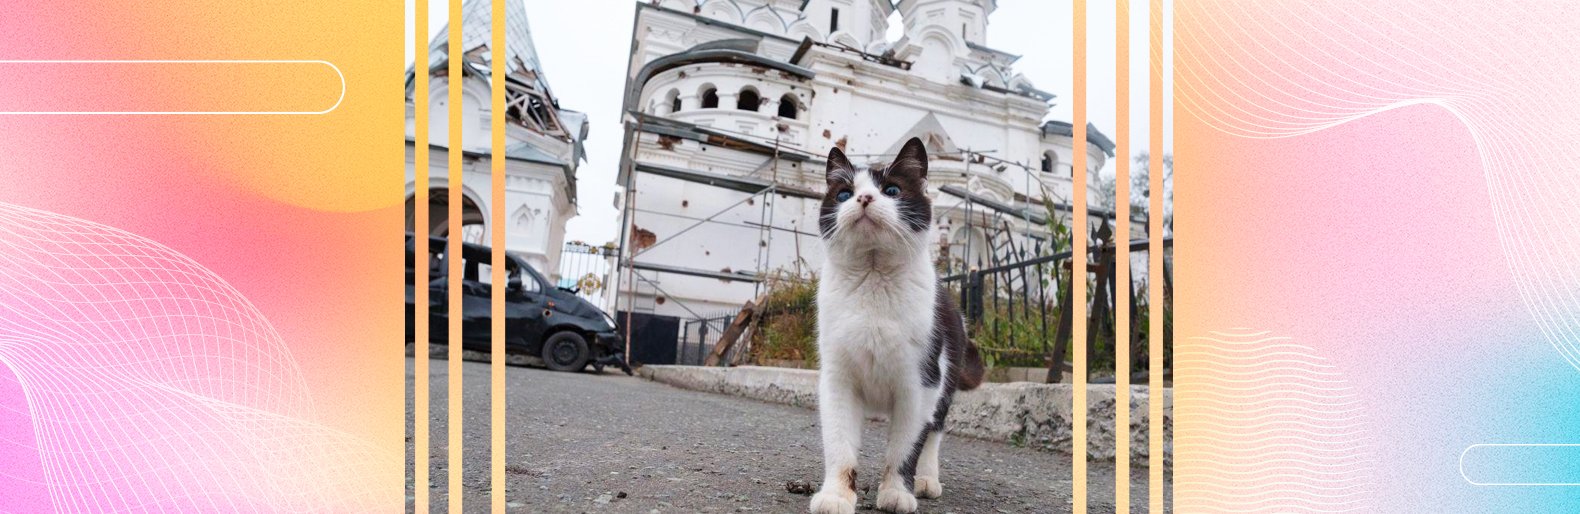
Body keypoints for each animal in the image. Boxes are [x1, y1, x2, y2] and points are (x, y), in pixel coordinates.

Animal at [808, 136, 979, 512]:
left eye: (892, 190)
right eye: (844, 194)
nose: (864, 198)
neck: (873, 279)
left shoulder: (920, 385)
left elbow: (906, 447)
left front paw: (897, 493)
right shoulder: (837, 379)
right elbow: (839, 442)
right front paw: (836, 495)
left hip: (946, 378)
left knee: (934, 432)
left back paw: (927, 480)